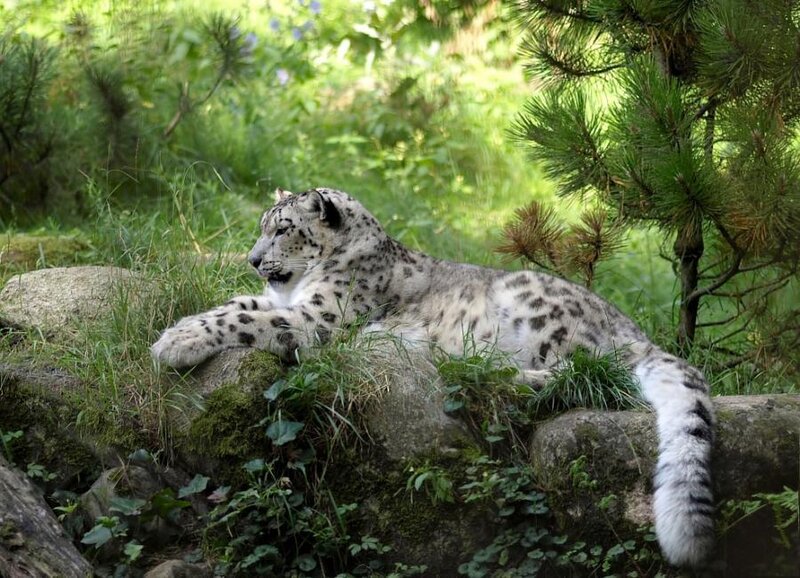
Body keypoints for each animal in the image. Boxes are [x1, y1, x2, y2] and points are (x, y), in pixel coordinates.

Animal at [152, 187, 715, 568]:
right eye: (264, 225)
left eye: (283, 228)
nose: (252, 259)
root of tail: (633, 329)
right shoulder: (283, 302)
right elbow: (239, 306)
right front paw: (177, 327)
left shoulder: (318, 321)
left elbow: (248, 321)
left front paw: (173, 344)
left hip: (538, 315)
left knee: (577, 372)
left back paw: (480, 367)